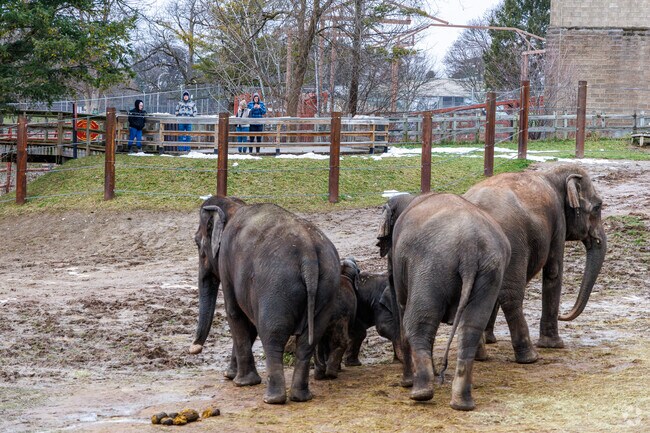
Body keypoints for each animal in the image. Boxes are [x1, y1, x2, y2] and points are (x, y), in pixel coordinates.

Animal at [188, 196, 341, 404]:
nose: (194, 348)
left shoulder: (226, 261)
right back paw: (300, 397)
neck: (235, 206)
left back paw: (272, 399)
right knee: (308, 341)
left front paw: (240, 381)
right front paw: (231, 375)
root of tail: (308, 256)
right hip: (327, 287)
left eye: (197, 242)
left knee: (273, 336)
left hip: (276, 288)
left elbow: (235, 312)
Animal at [377, 192, 511, 411]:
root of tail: (470, 248)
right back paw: (461, 403)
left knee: (417, 322)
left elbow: (401, 305)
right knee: (472, 327)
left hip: (431, 265)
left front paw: (406, 383)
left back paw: (420, 393)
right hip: (491, 270)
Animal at [463, 164, 607, 363]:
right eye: (598, 207)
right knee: (511, 296)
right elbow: (554, 271)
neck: (552, 174)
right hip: (512, 242)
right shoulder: (558, 221)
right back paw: (529, 357)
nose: (563, 315)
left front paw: (490, 339)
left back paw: (480, 354)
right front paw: (554, 345)